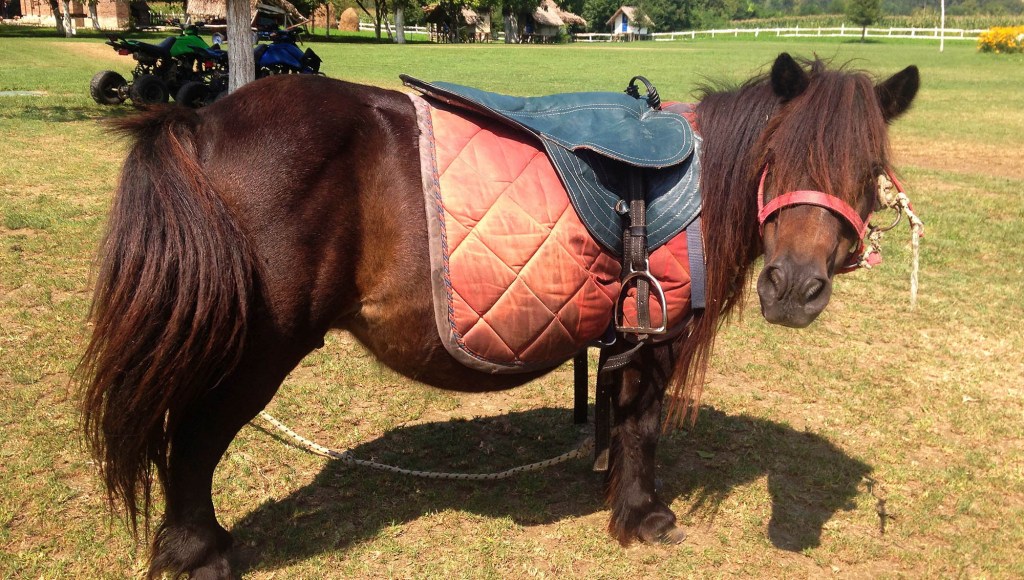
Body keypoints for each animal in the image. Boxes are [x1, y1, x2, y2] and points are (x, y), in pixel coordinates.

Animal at [81, 53, 921, 577]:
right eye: (780, 154)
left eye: (869, 168)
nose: (794, 288)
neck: (696, 185)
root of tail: (194, 125)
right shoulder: (654, 335)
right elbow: (644, 425)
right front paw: (643, 517)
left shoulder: (621, 334)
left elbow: (622, 418)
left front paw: (615, 494)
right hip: (259, 350)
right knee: (194, 437)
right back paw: (201, 552)